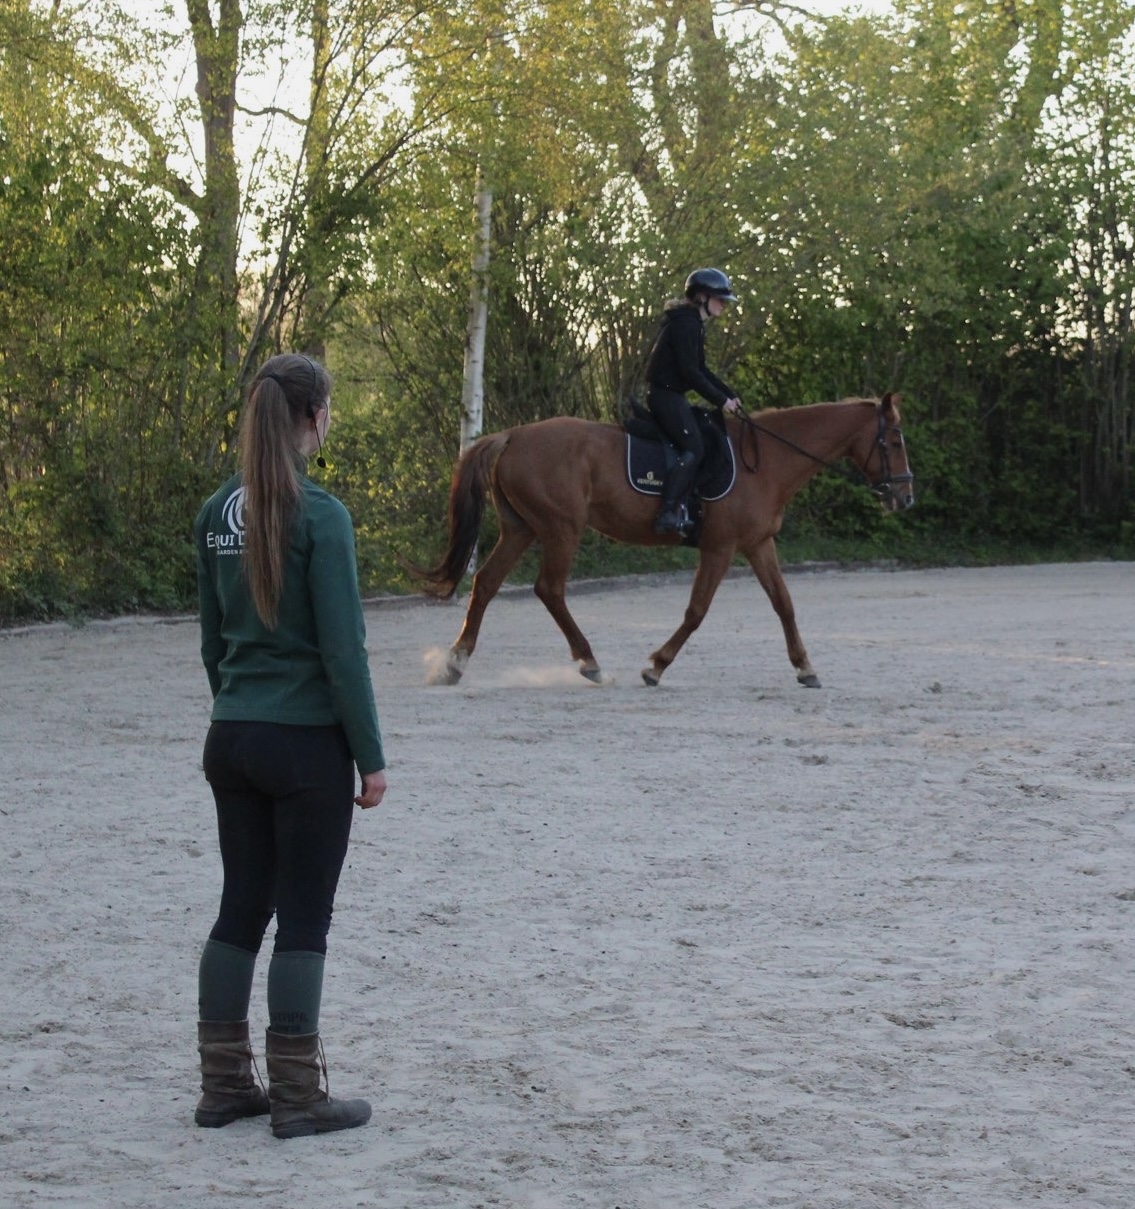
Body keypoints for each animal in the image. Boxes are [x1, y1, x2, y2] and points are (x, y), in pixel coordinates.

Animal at [415, 393, 913, 687]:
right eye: (893, 442)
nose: (905, 497)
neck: (767, 461)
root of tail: (513, 435)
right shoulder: (720, 548)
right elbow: (696, 612)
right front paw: (655, 665)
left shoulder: (758, 545)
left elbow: (784, 604)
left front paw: (805, 667)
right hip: (561, 528)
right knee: (549, 589)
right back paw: (589, 661)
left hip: (523, 528)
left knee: (486, 583)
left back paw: (455, 663)